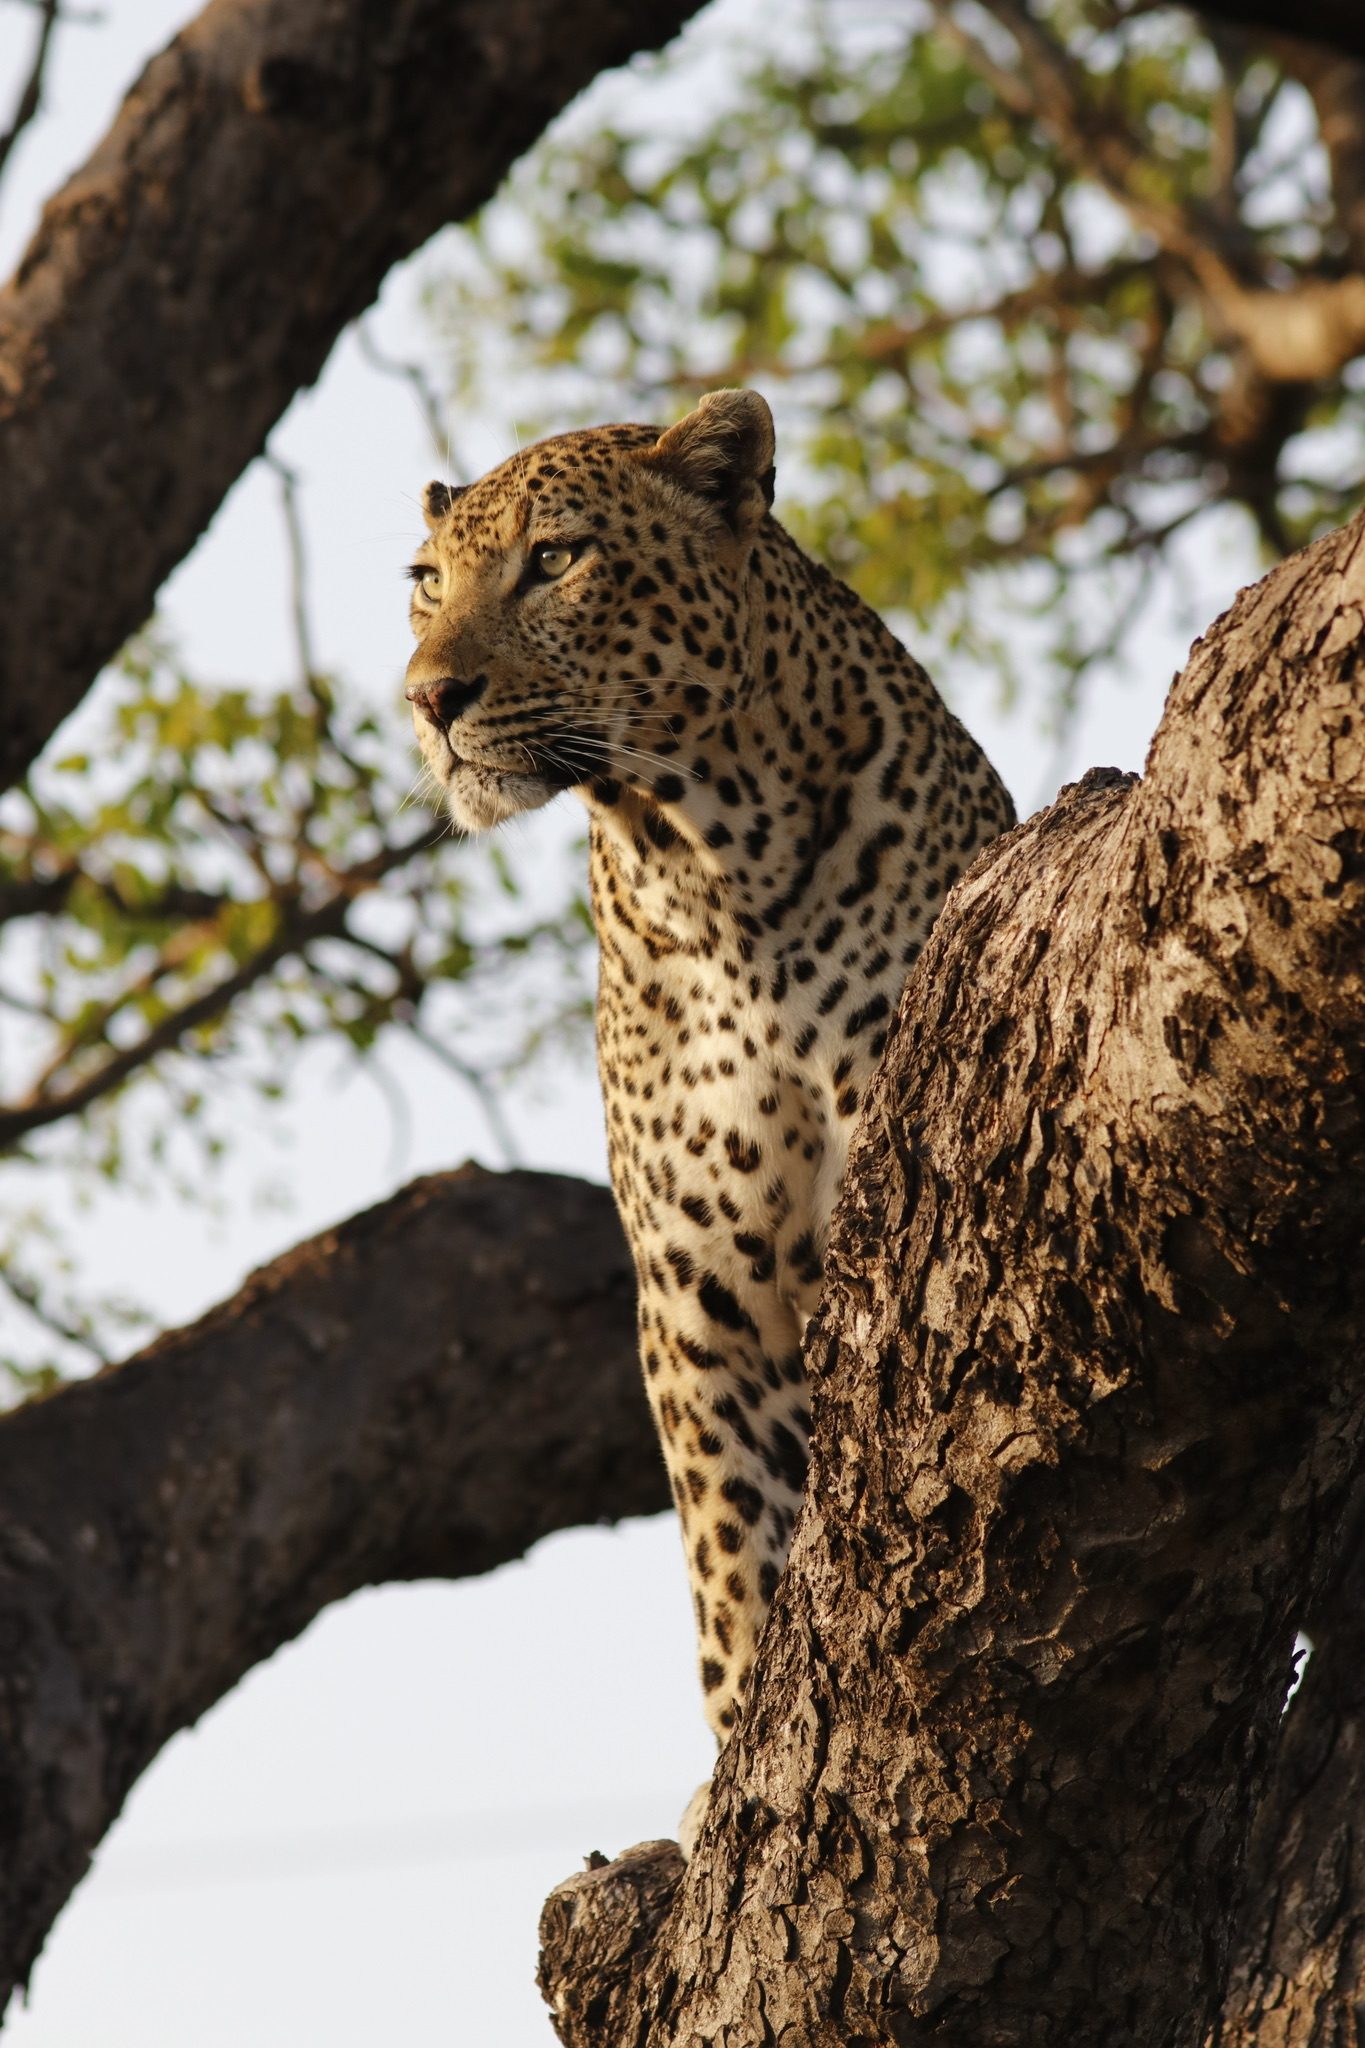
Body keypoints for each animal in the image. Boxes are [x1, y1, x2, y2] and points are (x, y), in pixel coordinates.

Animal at [403, 389, 1013, 1829]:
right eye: (425, 585)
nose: (427, 697)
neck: (700, 862)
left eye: (554, 560)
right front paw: (733, 1765)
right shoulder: (695, 1291)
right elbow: (731, 1541)